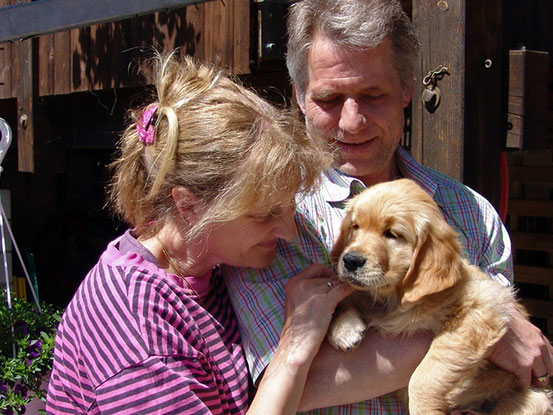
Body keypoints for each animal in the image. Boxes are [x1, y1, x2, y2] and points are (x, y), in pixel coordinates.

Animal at [326, 180, 548, 415]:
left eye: (392, 234)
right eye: (355, 227)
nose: (350, 260)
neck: (396, 298)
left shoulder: (482, 308)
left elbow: (425, 375)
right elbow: (349, 297)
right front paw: (343, 330)